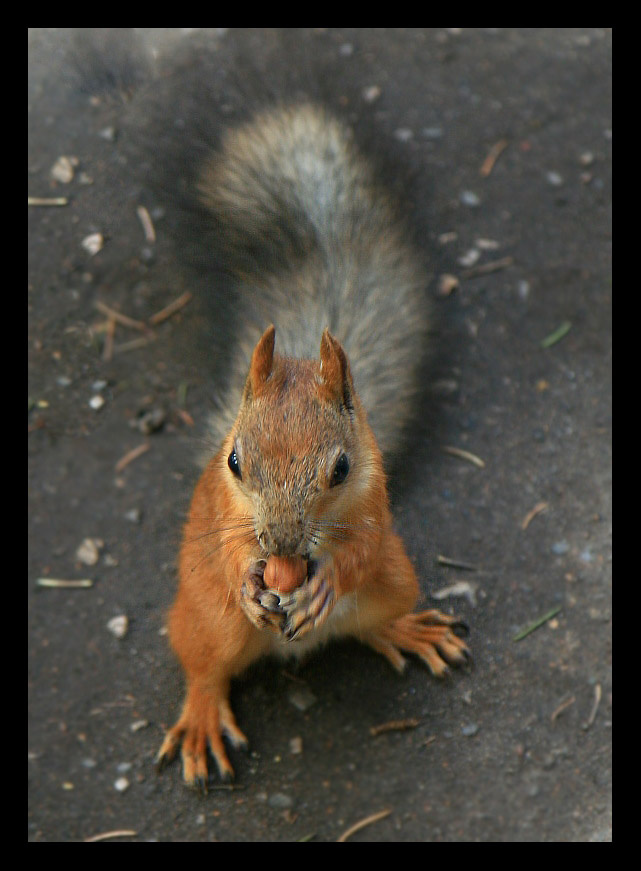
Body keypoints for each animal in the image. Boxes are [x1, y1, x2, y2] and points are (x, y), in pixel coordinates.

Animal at [155, 102, 470, 790]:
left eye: (342, 468)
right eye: (235, 460)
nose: (281, 547)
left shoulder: (375, 504)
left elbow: (361, 549)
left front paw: (325, 580)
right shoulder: (221, 507)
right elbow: (231, 552)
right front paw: (251, 575)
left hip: (397, 580)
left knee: (366, 621)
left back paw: (406, 631)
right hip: (206, 620)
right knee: (203, 667)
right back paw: (202, 718)